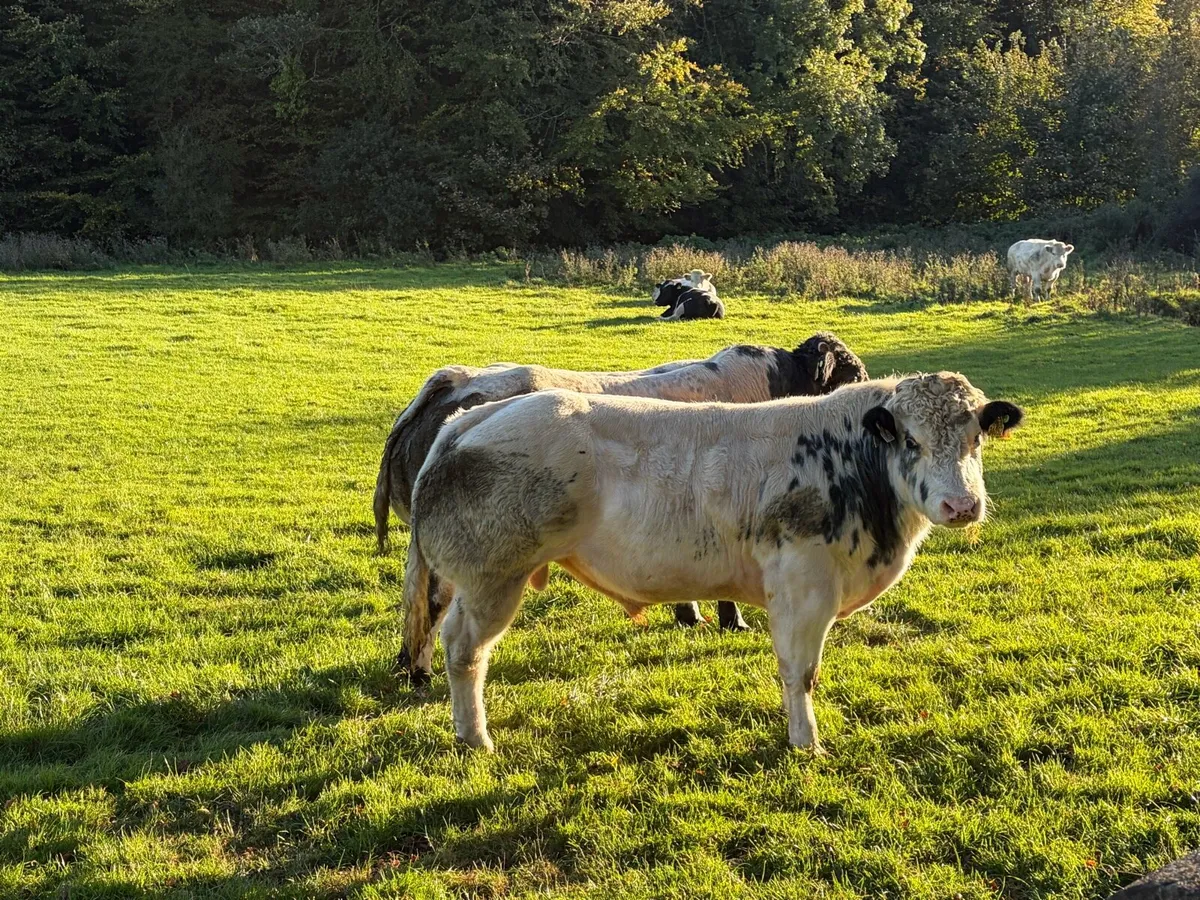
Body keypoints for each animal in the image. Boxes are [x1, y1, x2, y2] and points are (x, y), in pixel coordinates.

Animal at [376, 334, 870, 685]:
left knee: (414, 598)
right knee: (434, 602)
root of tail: (456, 380)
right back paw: (421, 672)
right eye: (853, 374)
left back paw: (407, 666)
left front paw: (690, 616)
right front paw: (731, 622)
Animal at [402, 372, 1023, 752]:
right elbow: (801, 671)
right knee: (464, 649)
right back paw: (475, 736)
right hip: (492, 579)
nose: (962, 506)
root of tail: (472, 418)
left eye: (976, 438)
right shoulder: (803, 587)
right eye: (911, 441)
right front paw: (806, 741)